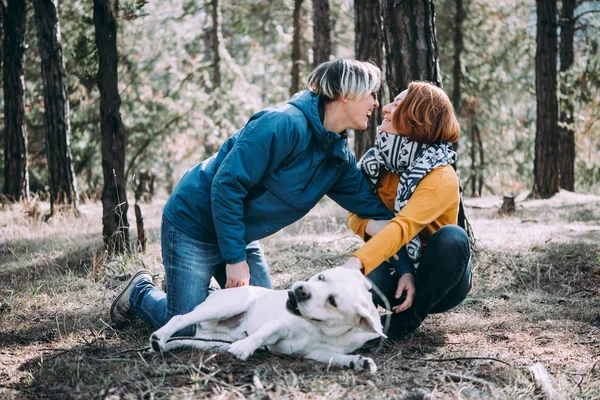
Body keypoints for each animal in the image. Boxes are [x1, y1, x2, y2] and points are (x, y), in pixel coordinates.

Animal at [148, 268, 386, 374]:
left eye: (333, 301)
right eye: (321, 277)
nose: (301, 290)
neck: (320, 329)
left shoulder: (317, 353)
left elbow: (336, 358)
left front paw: (359, 362)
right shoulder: (281, 325)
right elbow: (266, 330)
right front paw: (246, 347)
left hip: (213, 339)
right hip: (227, 306)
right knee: (179, 317)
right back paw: (160, 337)